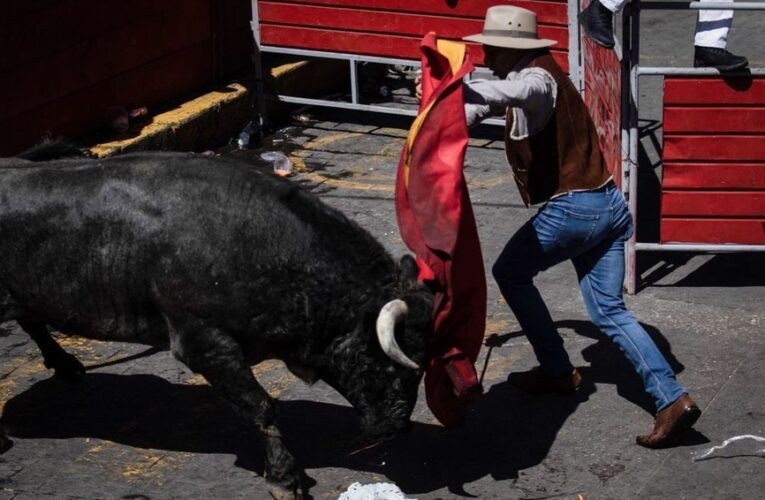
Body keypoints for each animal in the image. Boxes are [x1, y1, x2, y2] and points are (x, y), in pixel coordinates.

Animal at [0, 152, 432, 500]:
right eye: (389, 361)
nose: (398, 426)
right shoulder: (202, 342)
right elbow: (262, 407)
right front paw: (284, 478)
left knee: (31, 319)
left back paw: (65, 365)